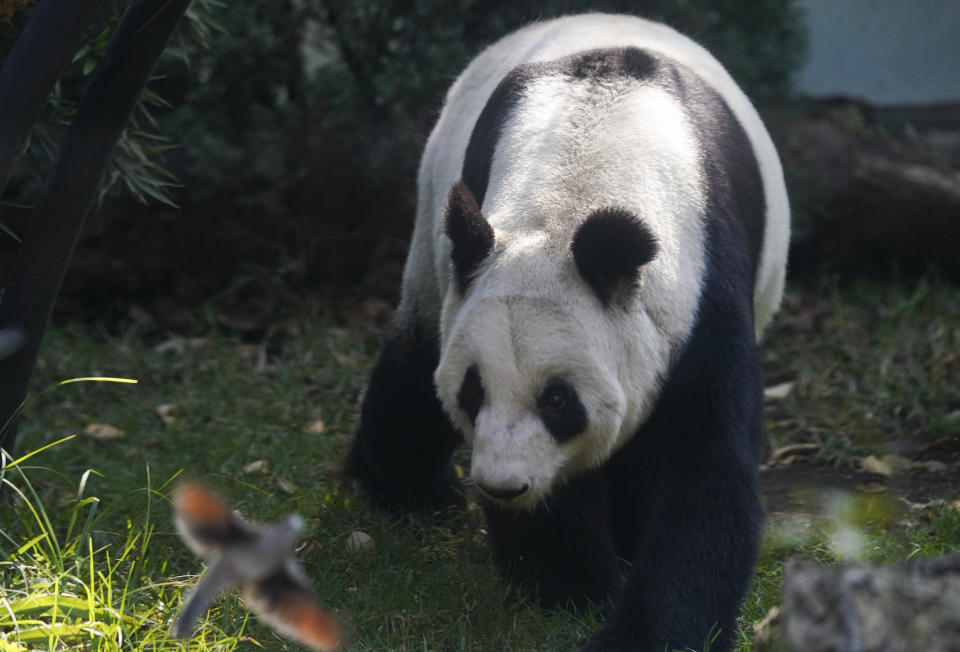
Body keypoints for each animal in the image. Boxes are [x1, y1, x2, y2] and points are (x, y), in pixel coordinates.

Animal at [344, 11, 788, 652]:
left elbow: (703, 469)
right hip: (434, 242)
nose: (502, 486)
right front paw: (570, 591)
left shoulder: (705, 291)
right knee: (411, 370)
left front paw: (642, 629)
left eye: (558, 400)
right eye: (473, 390)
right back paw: (405, 488)